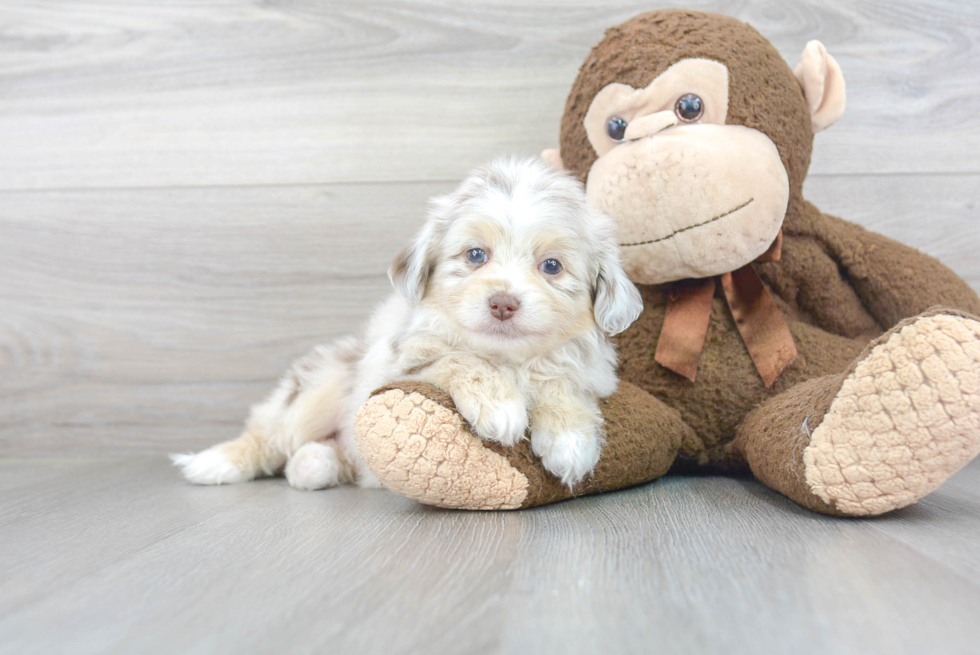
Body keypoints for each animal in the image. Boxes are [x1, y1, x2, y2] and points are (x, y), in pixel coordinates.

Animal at [172, 156, 648, 490]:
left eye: (551, 266)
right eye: (476, 255)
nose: (503, 303)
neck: (507, 357)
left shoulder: (592, 372)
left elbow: (561, 380)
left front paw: (570, 441)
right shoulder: (398, 364)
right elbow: (458, 360)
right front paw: (499, 405)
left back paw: (315, 465)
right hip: (320, 389)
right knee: (270, 435)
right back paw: (214, 463)